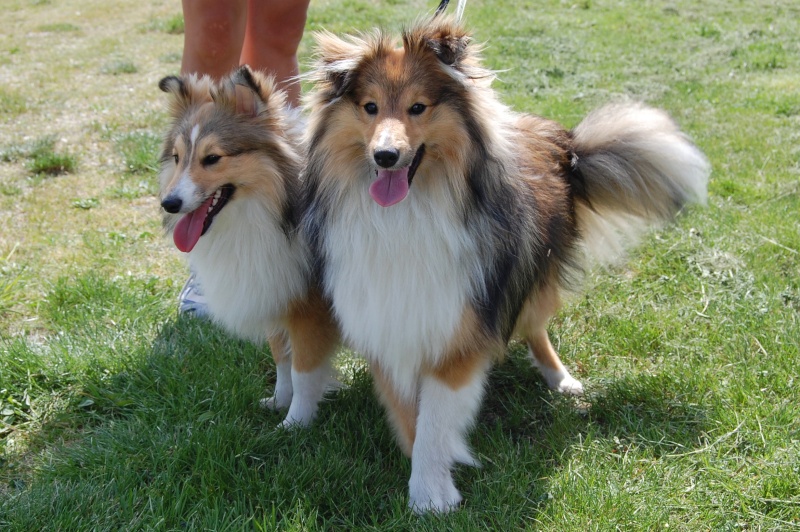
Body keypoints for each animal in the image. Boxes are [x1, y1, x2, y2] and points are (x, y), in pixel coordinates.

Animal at [158, 66, 340, 428]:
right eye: (177, 157)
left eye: (212, 158)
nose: (169, 204)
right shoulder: (274, 292)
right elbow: (282, 359)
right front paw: (278, 402)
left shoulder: (310, 311)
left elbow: (303, 371)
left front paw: (294, 425)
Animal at [296, 18, 708, 512]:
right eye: (369, 107)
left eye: (418, 107)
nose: (385, 156)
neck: (407, 214)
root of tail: (564, 143)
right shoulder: (386, 325)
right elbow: (410, 419)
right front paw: (431, 475)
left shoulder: (459, 333)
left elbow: (435, 423)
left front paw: (431, 494)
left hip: (533, 279)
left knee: (536, 326)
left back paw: (561, 380)